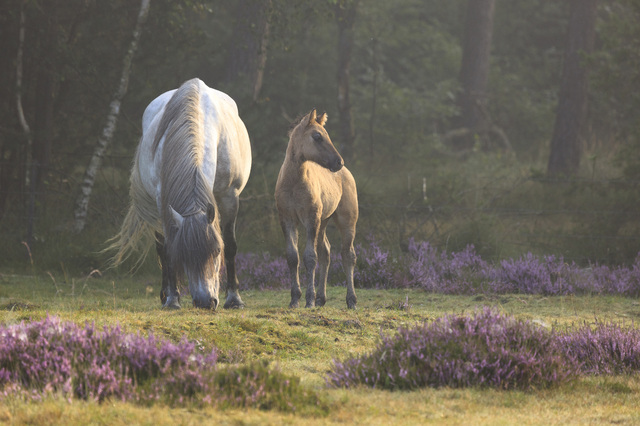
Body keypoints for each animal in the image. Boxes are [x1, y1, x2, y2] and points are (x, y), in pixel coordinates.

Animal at [107, 78, 252, 310]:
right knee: (160, 246)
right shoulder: (162, 202)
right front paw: (172, 299)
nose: (205, 302)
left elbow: (230, 244)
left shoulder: (230, 196)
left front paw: (234, 299)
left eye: (216, 252)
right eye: (184, 255)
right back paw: (165, 293)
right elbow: (167, 250)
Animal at [275, 109, 358, 309]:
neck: (293, 184)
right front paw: (295, 299)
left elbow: (310, 258)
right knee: (326, 253)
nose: (338, 162)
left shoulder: (310, 220)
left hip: (346, 221)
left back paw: (351, 300)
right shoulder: (287, 220)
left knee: (348, 255)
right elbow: (293, 257)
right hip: (323, 222)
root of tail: (347, 173)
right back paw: (322, 298)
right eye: (317, 136)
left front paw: (309, 300)